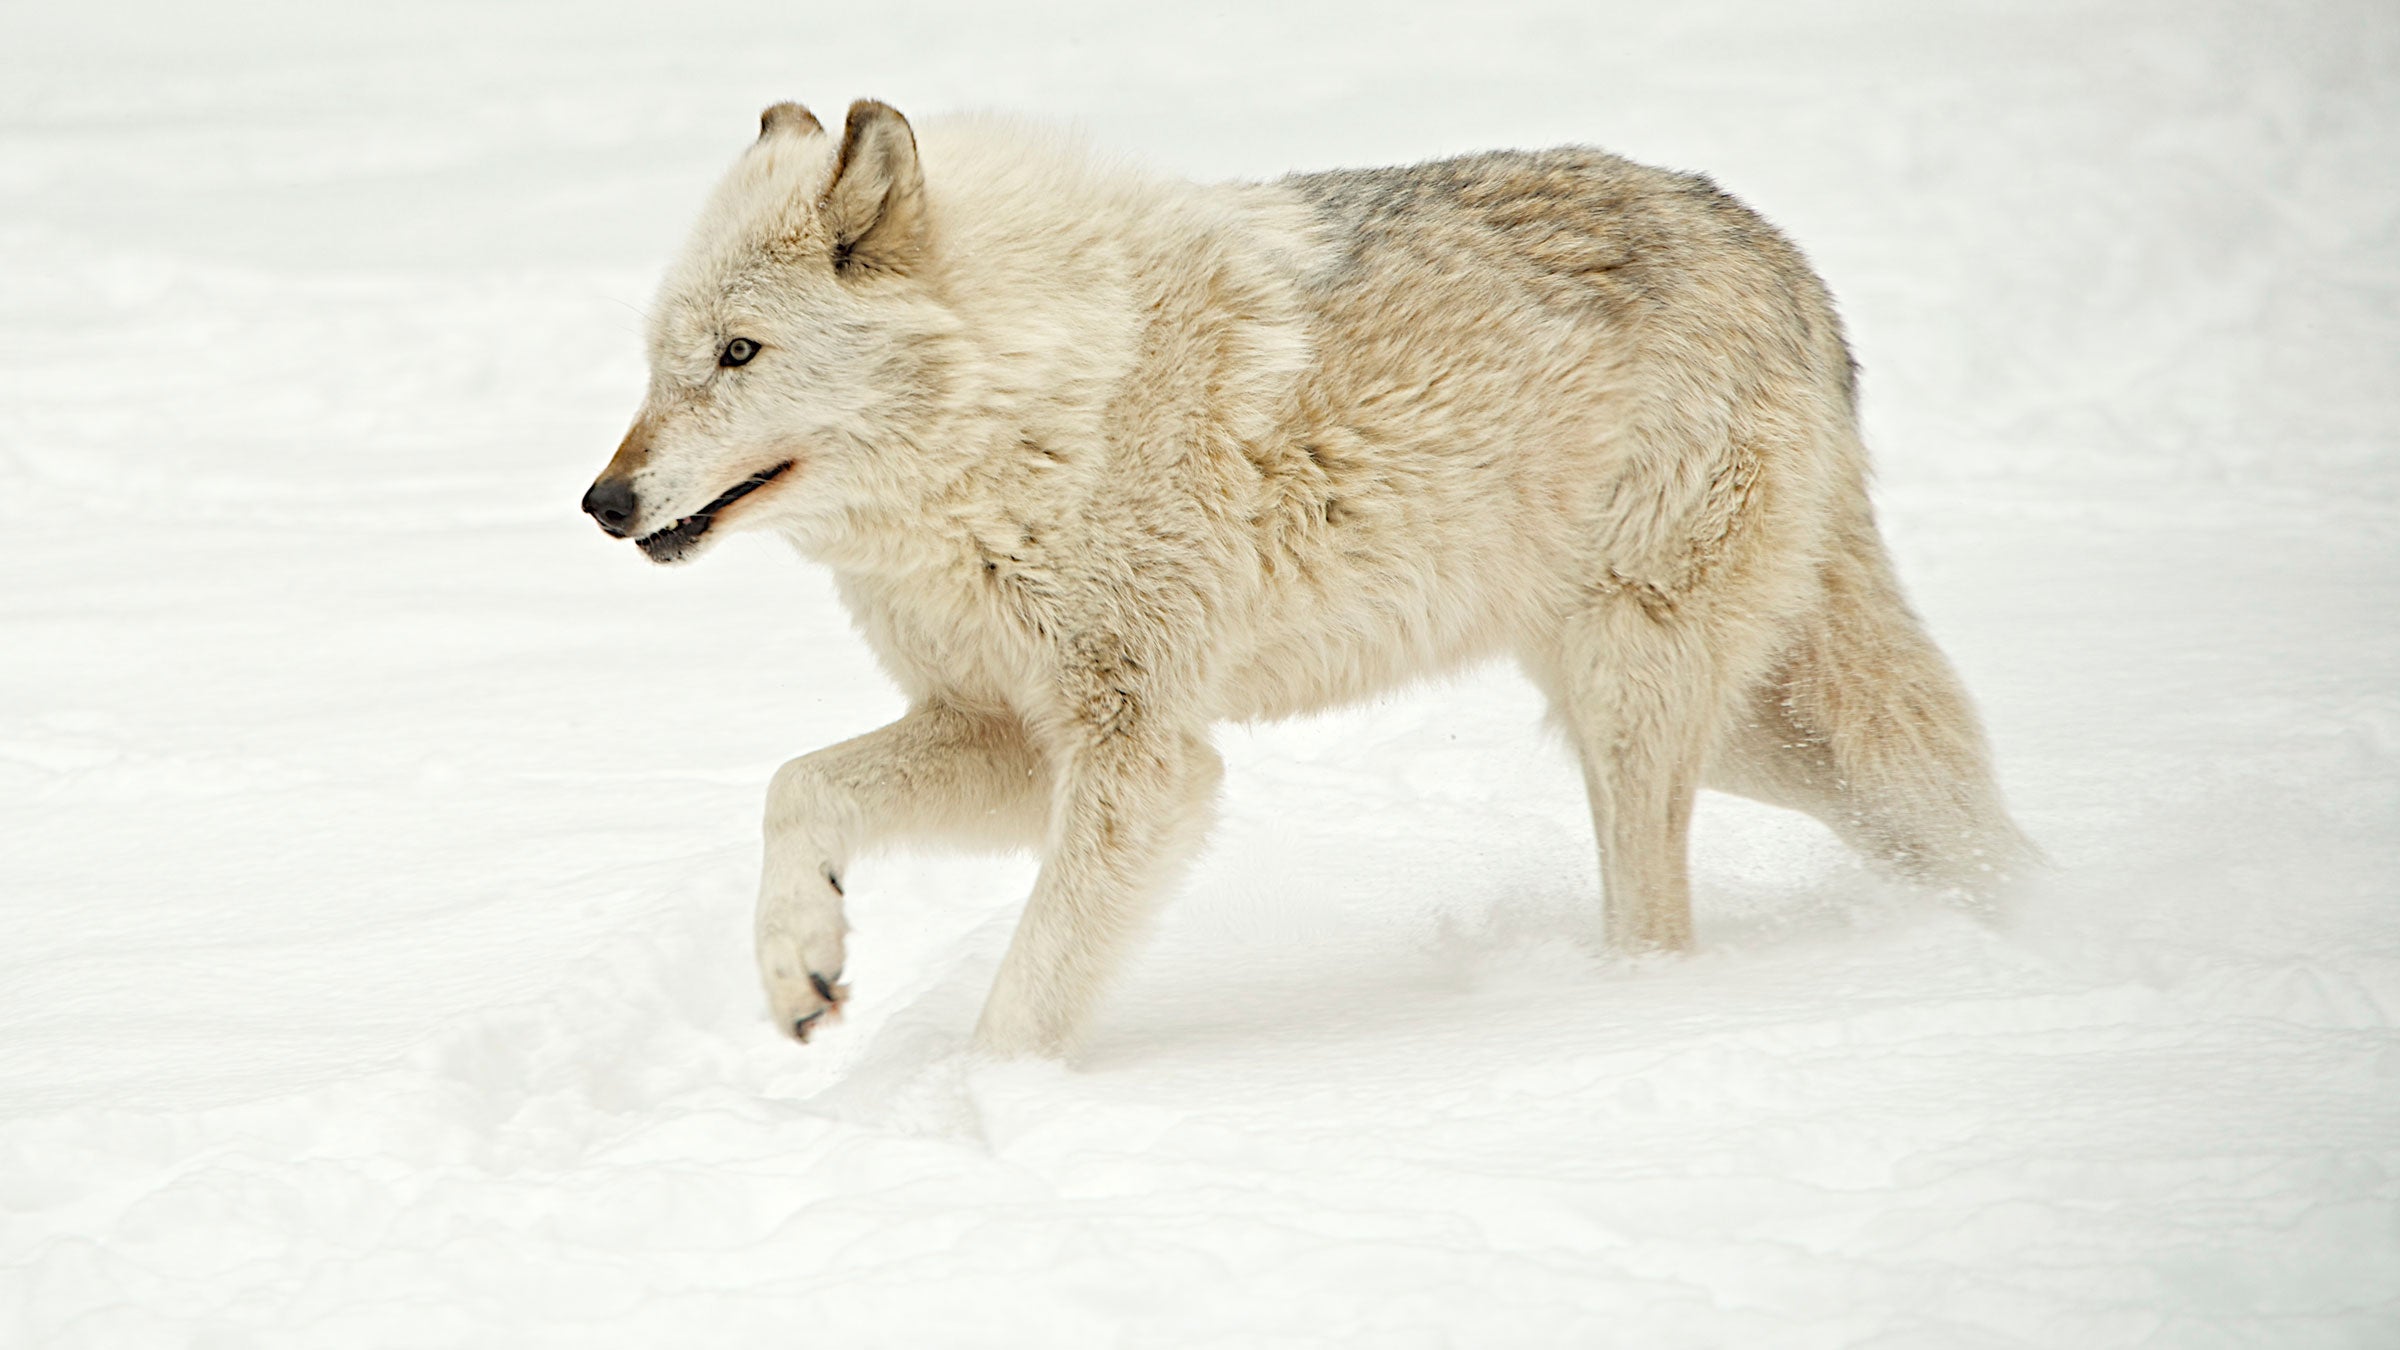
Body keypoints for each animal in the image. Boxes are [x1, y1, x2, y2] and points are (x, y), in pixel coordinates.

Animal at [576, 99, 2025, 1056]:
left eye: (740, 353)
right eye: (657, 360)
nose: (603, 503)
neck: (1034, 411)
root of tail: (1780, 256)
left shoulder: (1145, 757)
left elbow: (1027, 993)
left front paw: (964, 1122)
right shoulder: (1008, 730)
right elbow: (795, 789)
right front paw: (799, 967)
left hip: (1642, 702)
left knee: (1665, 920)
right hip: (1750, 734)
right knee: (1957, 820)